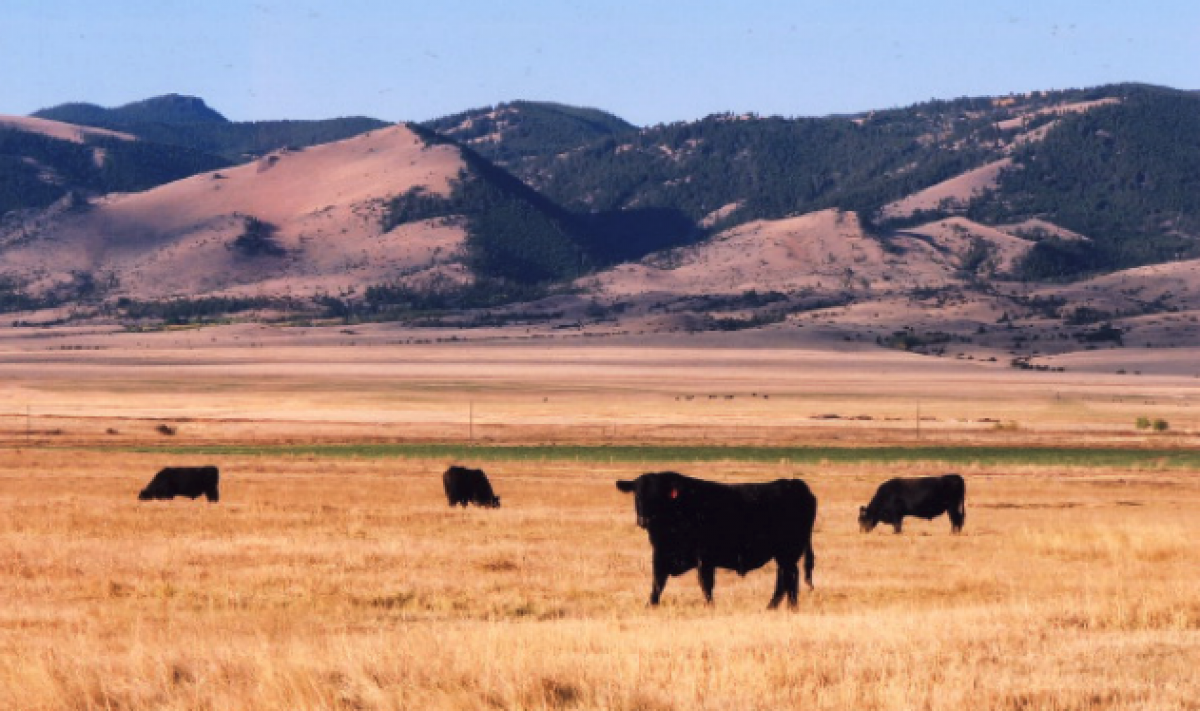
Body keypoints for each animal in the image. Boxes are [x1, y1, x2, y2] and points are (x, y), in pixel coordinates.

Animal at [619, 473, 816, 605]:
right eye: (637, 495)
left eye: (657, 495)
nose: (644, 520)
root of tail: (793, 483)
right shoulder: (660, 555)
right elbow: (657, 583)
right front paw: (650, 606)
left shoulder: (704, 557)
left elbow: (705, 583)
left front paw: (710, 606)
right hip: (784, 554)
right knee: (785, 578)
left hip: (788, 552)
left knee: (789, 577)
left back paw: (789, 607)